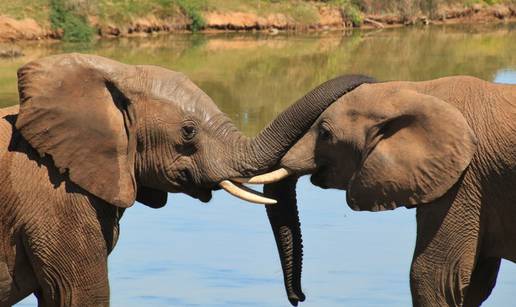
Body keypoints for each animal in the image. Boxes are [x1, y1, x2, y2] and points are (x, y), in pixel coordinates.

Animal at [245, 76, 516, 307]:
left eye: (325, 133)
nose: (299, 297)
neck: (419, 91)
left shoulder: (463, 183)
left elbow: (433, 278)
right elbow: (472, 285)